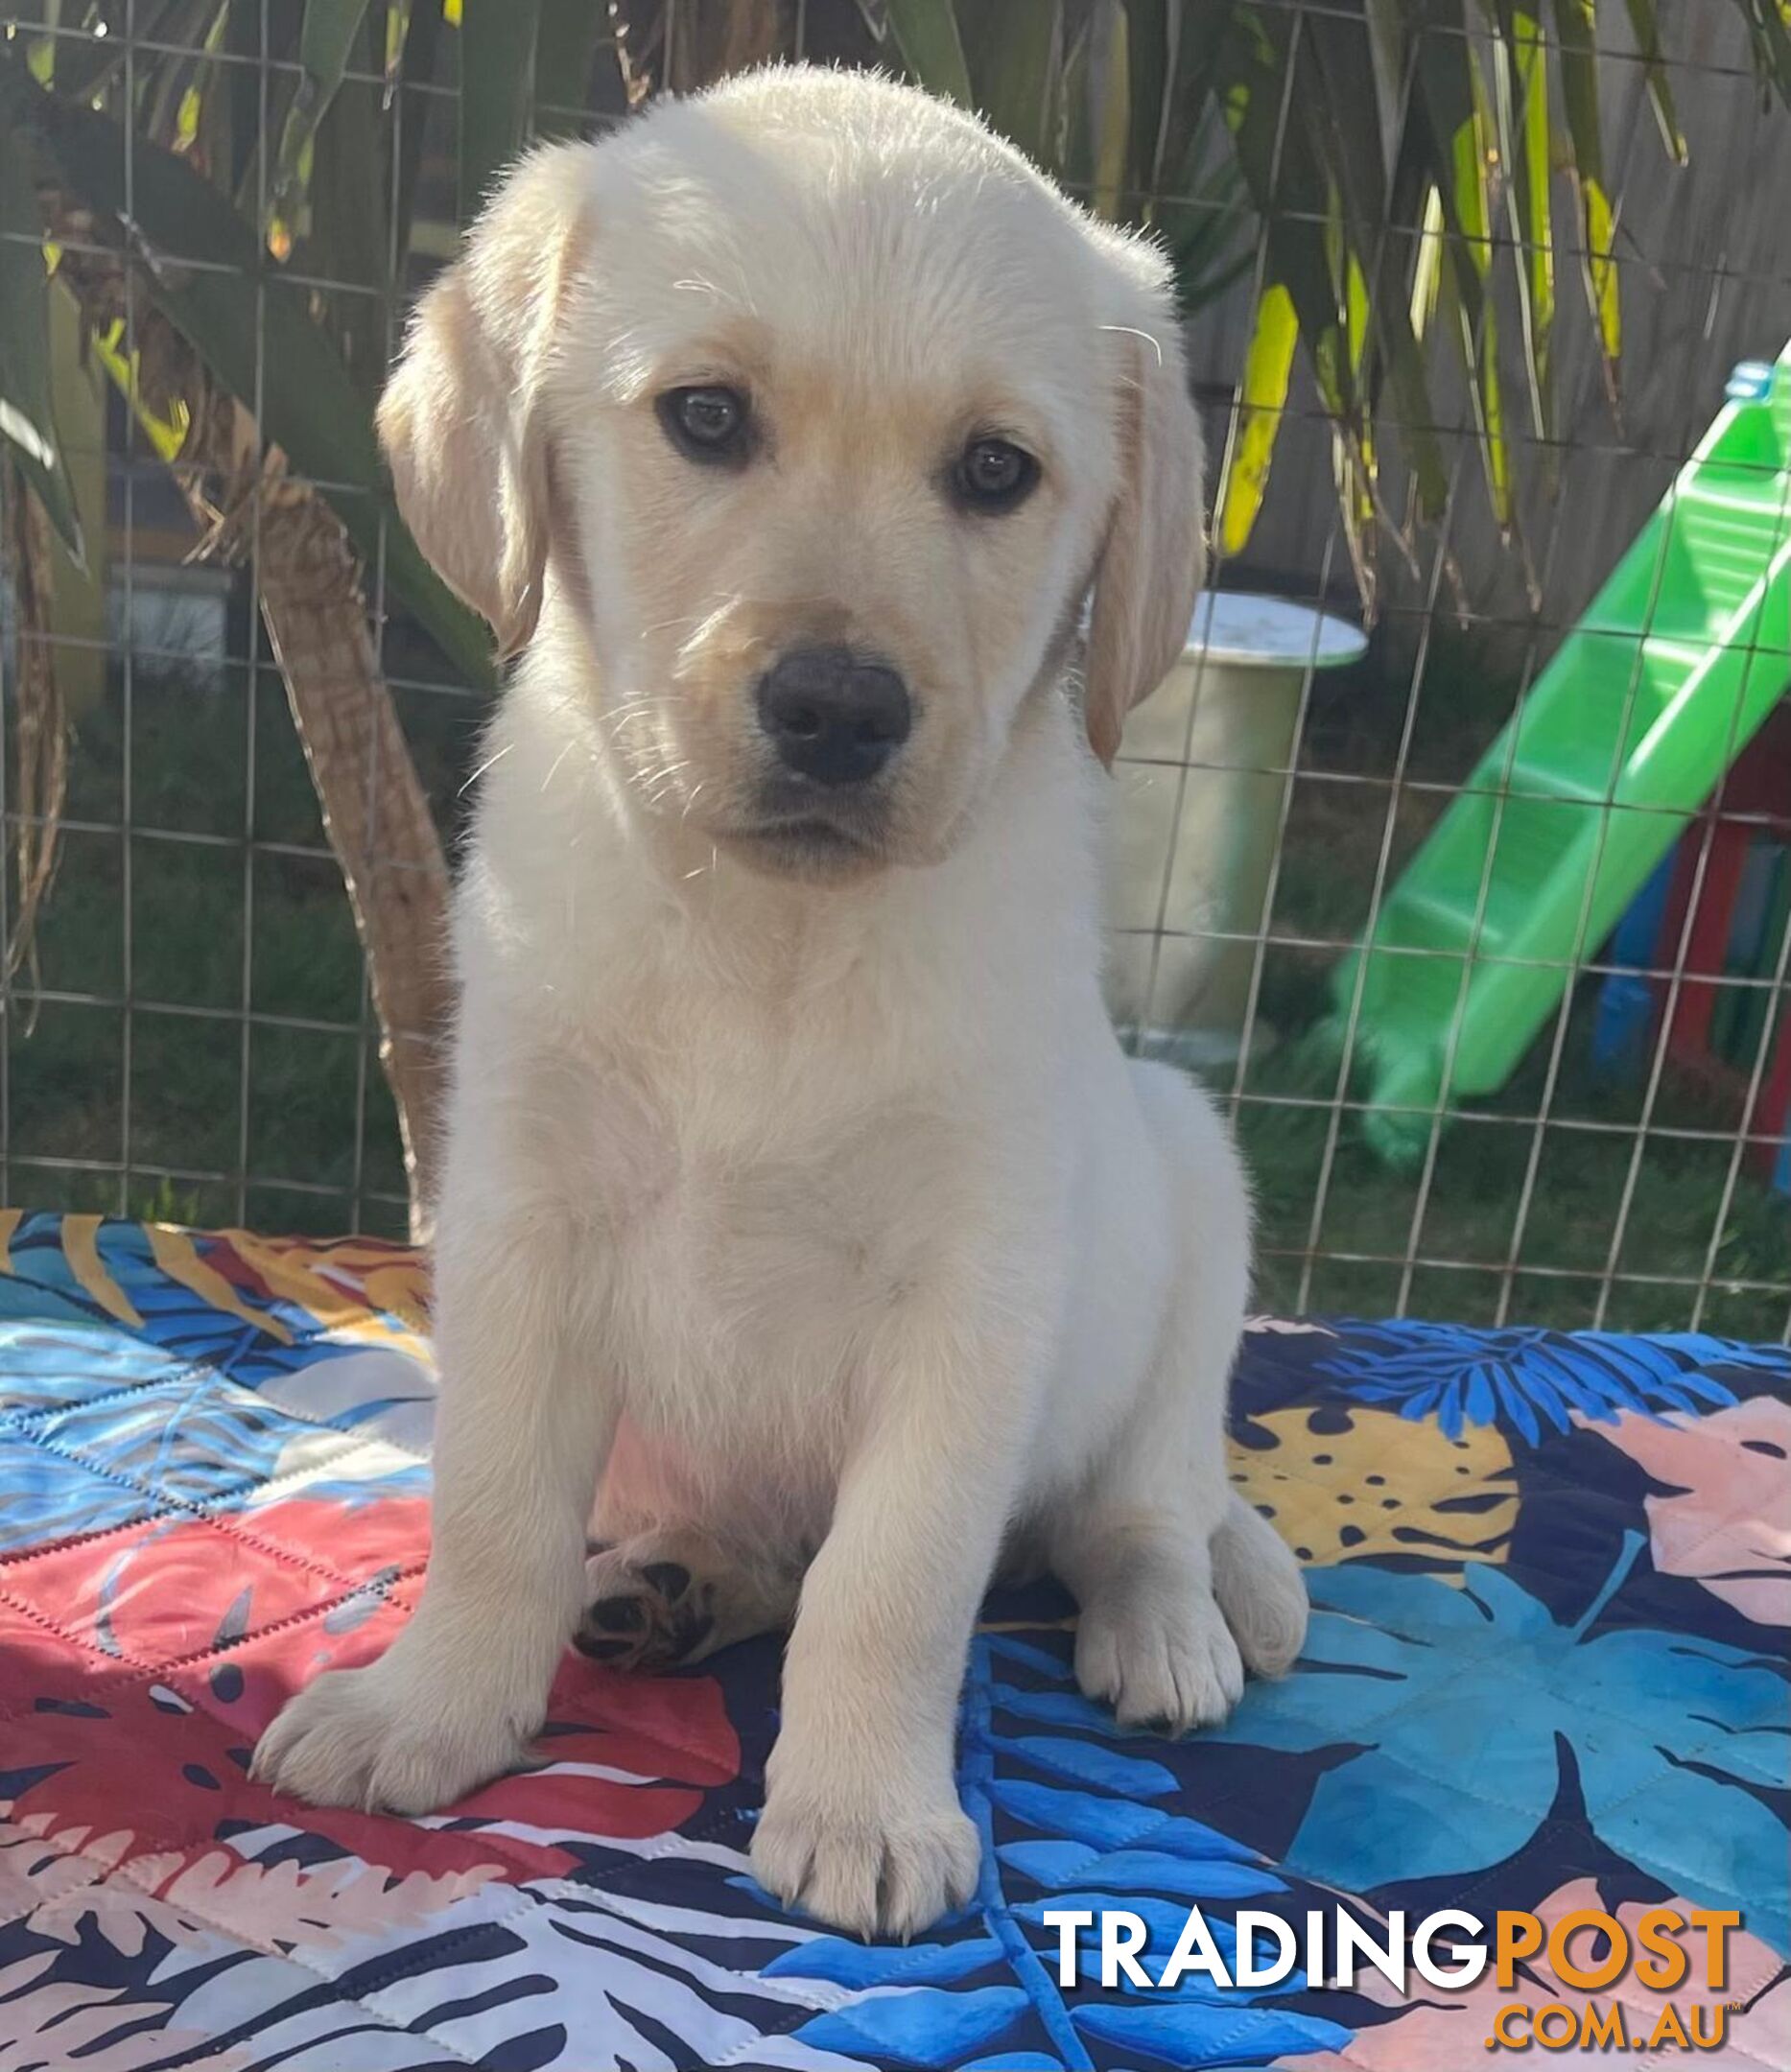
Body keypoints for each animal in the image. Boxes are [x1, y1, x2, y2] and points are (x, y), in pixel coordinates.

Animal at [251, 64, 1309, 1939]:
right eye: (705, 418)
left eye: (993, 470)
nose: (836, 707)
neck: (769, 939)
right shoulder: (520, 1218)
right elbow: (494, 1509)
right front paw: (428, 1708)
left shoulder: (975, 1290)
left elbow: (892, 1581)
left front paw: (865, 1810)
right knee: (761, 1542)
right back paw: (672, 1581)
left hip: (1189, 1184)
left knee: (1142, 1502)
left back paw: (1167, 1622)